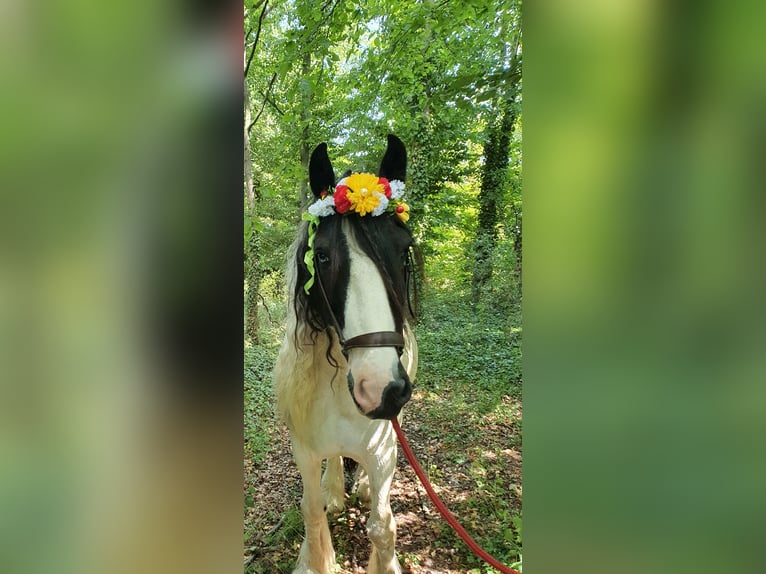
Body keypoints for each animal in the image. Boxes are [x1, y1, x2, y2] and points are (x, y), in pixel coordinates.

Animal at [274, 136, 420, 574]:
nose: (381, 389)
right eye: (321, 256)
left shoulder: (383, 451)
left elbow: (382, 528)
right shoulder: (304, 451)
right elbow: (311, 511)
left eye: (403, 251)